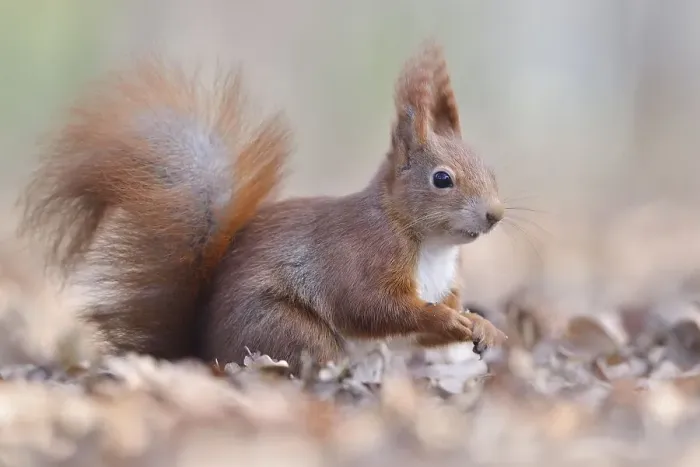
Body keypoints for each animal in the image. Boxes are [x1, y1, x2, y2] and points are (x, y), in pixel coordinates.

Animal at [18, 42, 507, 373]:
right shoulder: (362, 255)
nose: (495, 215)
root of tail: (203, 353)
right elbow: (370, 306)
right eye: (442, 179)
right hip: (282, 327)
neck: (429, 245)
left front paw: (482, 326)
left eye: (490, 169)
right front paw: (447, 318)